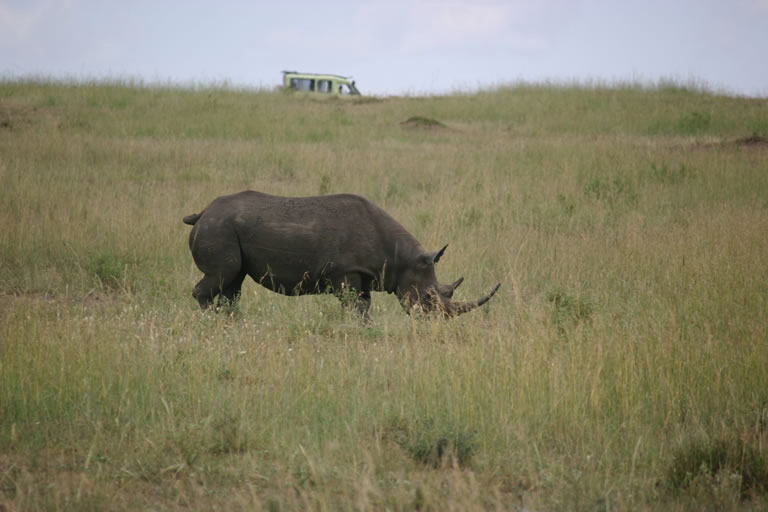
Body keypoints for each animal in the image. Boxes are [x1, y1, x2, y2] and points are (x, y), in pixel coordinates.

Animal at [183, 191, 500, 319]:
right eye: (429, 299)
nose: (436, 322)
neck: (402, 259)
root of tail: (202, 212)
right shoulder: (346, 272)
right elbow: (355, 308)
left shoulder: (364, 274)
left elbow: (364, 306)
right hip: (219, 228)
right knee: (221, 276)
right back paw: (210, 321)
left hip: (225, 228)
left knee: (232, 283)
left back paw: (229, 322)